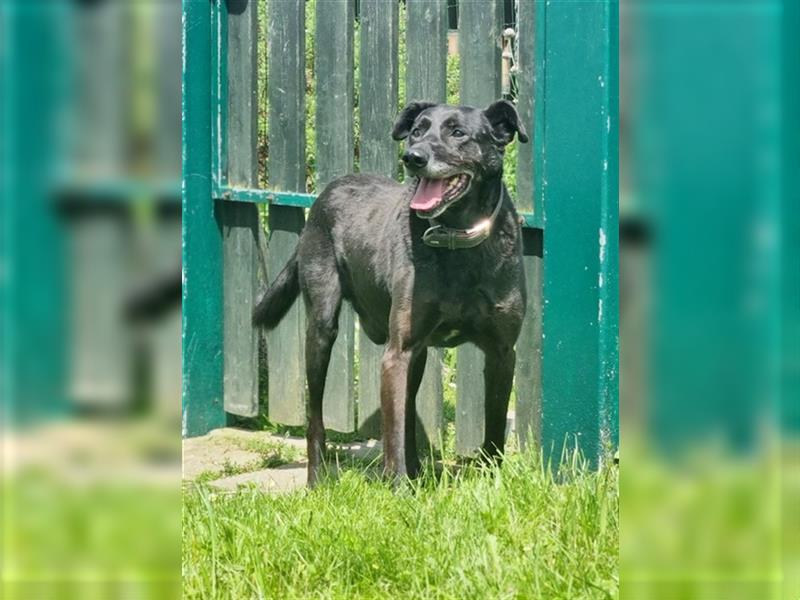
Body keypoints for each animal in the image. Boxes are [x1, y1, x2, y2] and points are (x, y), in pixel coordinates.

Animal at [256, 101, 528, 486]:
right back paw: (318, 480)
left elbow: (493, 430)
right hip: (322, 329)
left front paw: (491, 482)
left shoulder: (502, 353)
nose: (413, 157)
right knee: (317, 419)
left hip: (419, 355)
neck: (457, 240)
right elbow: (394, 433)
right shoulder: (397, 354)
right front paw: (398, 488)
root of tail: (327, 191)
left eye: (458, 133)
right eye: (417, 131)